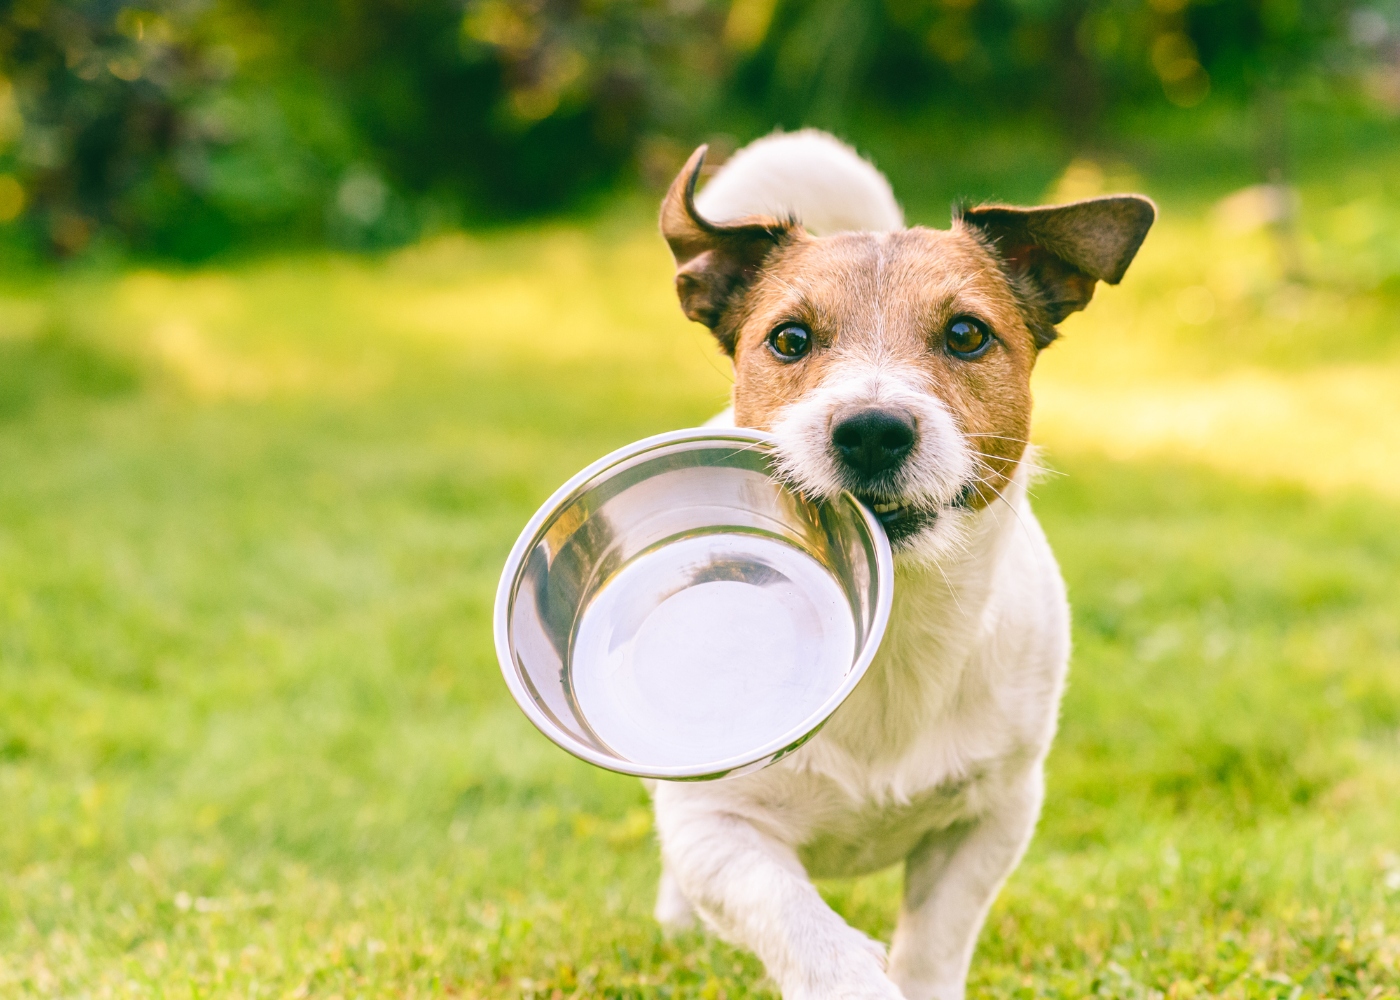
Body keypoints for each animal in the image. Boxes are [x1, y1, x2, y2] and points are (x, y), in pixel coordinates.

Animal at [649, 132, 1153, 997]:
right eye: (789, 339)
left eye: (966, 334)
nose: (872, 430)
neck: (895, 628)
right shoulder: (715, 827)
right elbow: (796, 919)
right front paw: (846, 973)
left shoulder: (993, 817)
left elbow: (934, 943)